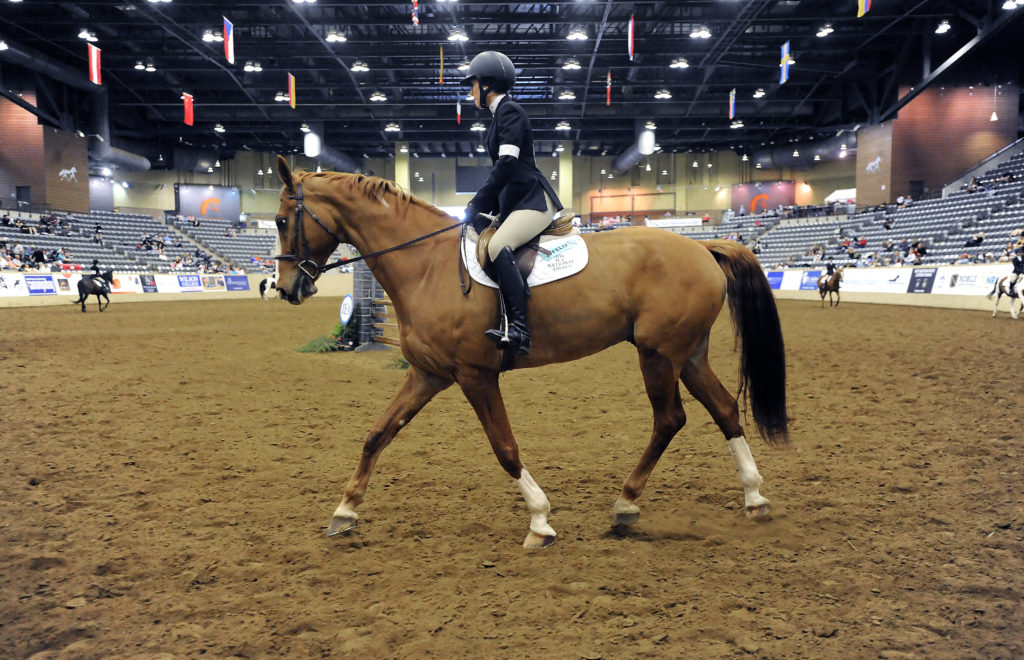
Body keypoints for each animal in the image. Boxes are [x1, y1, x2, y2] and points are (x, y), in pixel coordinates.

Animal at [268, 155, 786, 552]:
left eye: (281, 221)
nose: (286, 288)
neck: (426, 266)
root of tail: (704, 248)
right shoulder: (426, 374)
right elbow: (378, 434)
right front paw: (344, 511)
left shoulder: (475, 374)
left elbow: (505, 447)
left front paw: (539, 521)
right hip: (688, 354)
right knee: (724, 409)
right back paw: (755, 498)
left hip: (658, 354)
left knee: (670, 419)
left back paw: (626, 503)